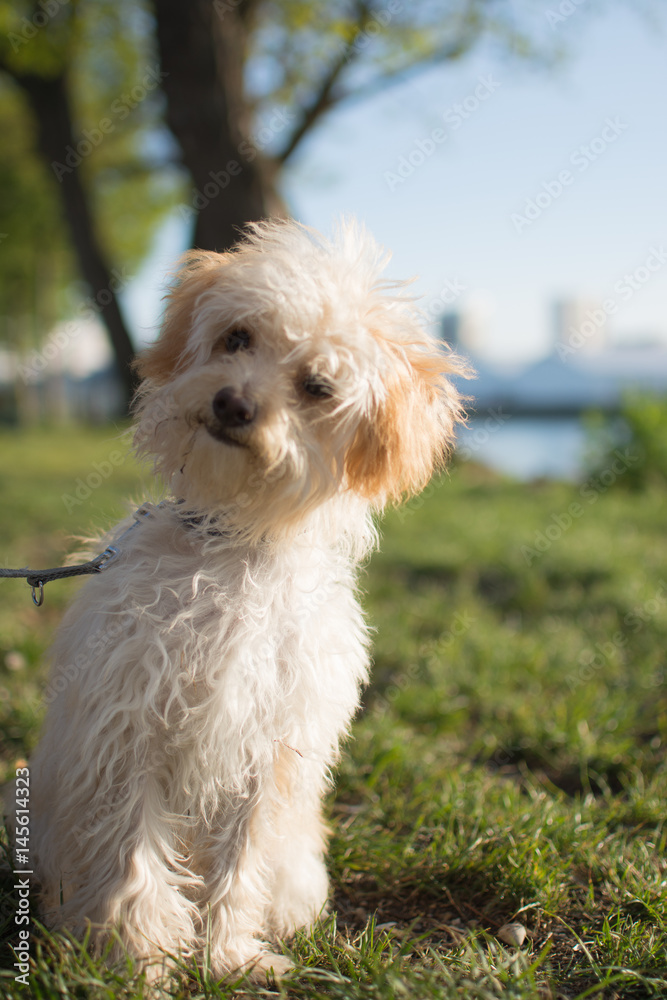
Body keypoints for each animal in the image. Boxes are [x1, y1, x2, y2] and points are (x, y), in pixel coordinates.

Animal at [31, 221, 468, 984]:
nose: (233, 403)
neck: (237, 546)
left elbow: (242, 861)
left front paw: (227, 956)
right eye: (237, 337)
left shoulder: (272, 751)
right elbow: (132, 850)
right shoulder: (128, 727)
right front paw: (141, 959)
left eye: (317, 386)